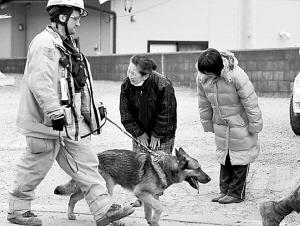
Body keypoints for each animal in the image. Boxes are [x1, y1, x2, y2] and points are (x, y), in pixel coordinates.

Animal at [55, 147, 211, 225]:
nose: (209, 179)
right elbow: (159, 208)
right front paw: (155, 220)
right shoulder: (141, 193)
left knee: (72, 197)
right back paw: (113, 220)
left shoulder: (151, 196)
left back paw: (70, 215)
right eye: (198, 169)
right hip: (106, 187)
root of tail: (96, 157)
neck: (165, 167)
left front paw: (152, 222)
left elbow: (149, 212)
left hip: (91, 186)